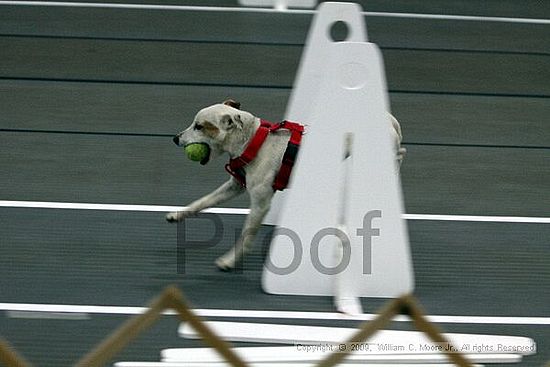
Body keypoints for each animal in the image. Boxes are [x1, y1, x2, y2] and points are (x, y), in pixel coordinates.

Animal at [168, 99, 406, 272]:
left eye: (199, 126)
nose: (175, 138)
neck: (253, 141)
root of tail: (389, 118)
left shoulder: (261, 203)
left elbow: (247, 234)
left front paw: (229, 260)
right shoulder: (234, 186)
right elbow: (202, 202)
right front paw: (178, 214)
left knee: (400, 155)